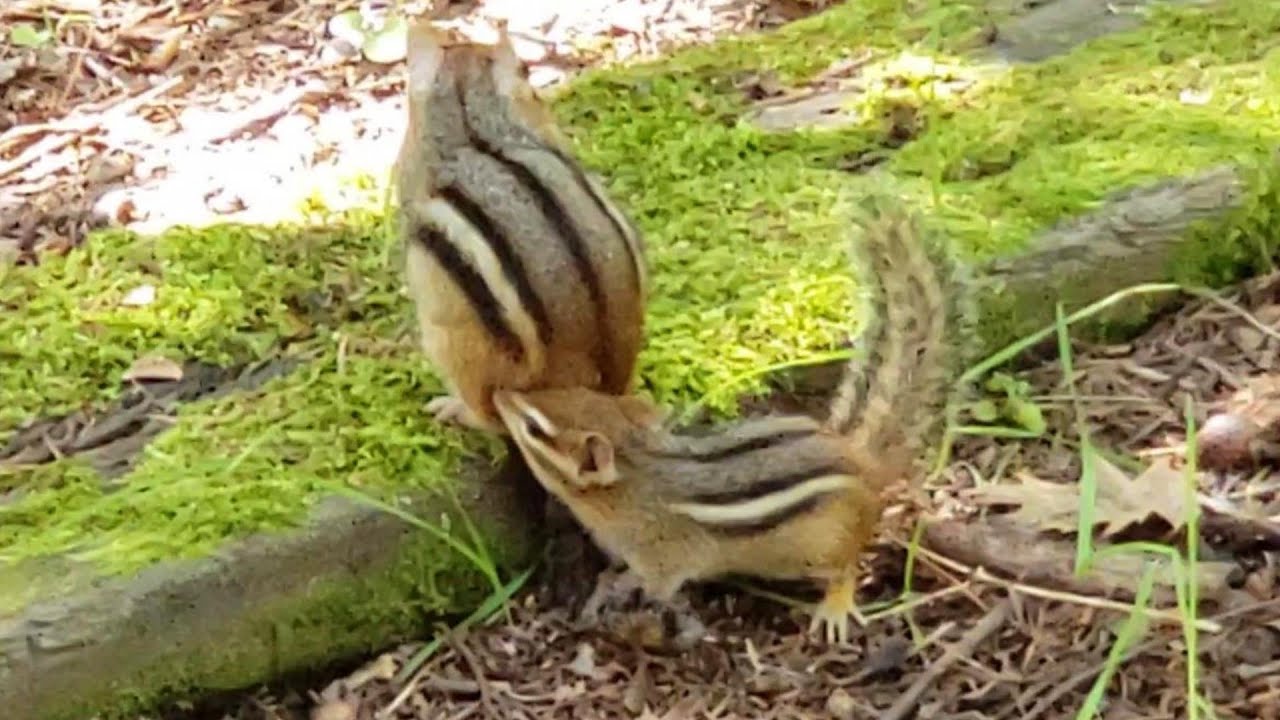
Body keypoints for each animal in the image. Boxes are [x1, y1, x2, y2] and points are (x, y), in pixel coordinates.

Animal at [491, 193, 967, 643]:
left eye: (534, 427)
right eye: (569, 394)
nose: (501, 395)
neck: (636, 477)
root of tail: (860, 458)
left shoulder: (663, 558)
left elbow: (657, 584)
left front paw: (624, 589)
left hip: (827, 541)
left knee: (848, 564)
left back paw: (835, 605)